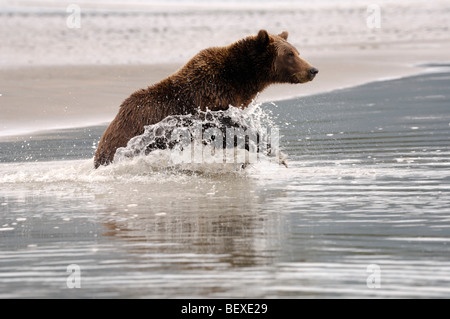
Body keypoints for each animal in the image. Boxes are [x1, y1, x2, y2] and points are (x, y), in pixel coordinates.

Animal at [93, 30, 318, 169]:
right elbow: (231, 131)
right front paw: (274, 154)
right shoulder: (211, 102)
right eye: (289, 54)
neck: (238, 80)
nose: (313, 69)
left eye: (297, 51)